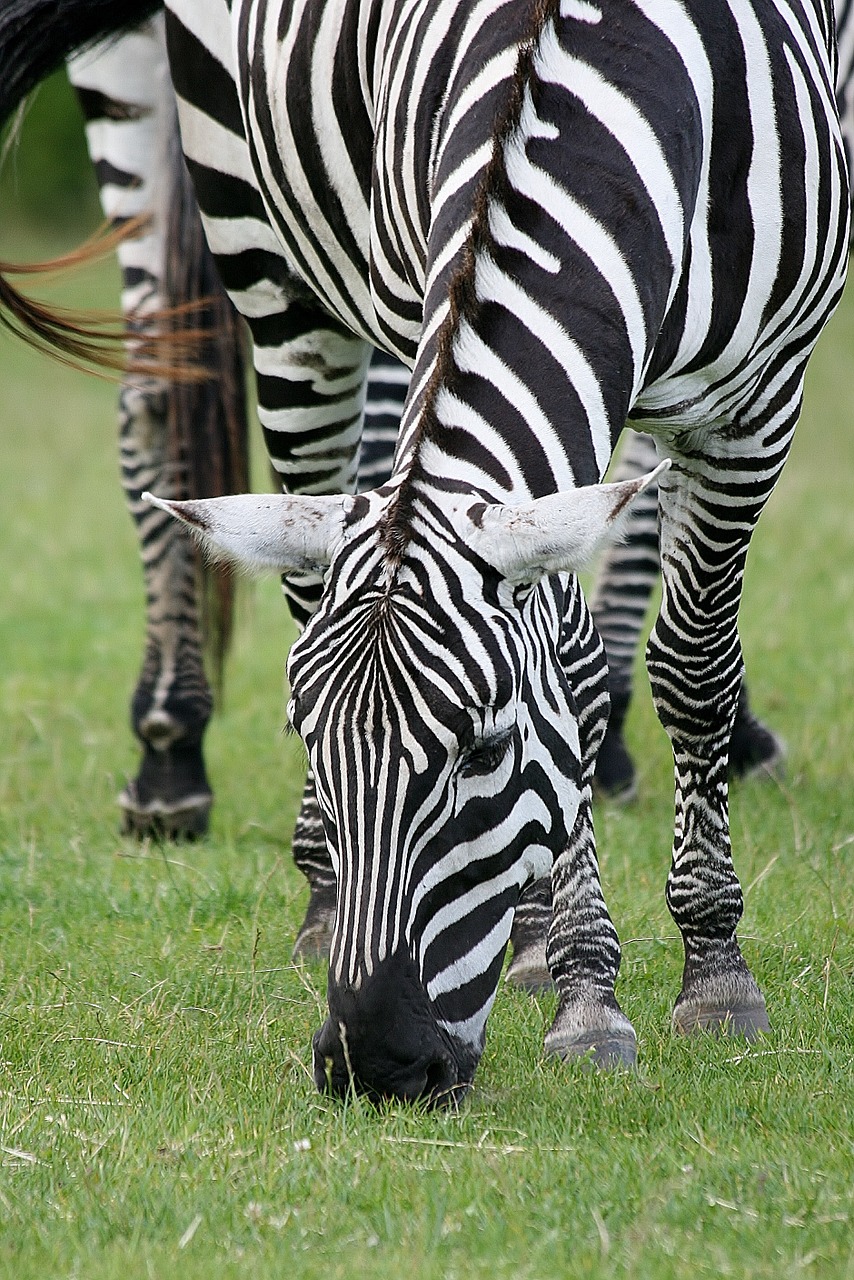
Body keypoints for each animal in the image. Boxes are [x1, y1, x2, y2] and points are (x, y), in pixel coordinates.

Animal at [0, 0, 850, 1111]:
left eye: (484, 750)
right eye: (309, 741)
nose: (378, 1063)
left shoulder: (762, 398)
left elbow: (692, 663)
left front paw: (712, 971)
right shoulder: (417, 292)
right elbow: (572, 668)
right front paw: (585, 984)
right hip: (263, 239)